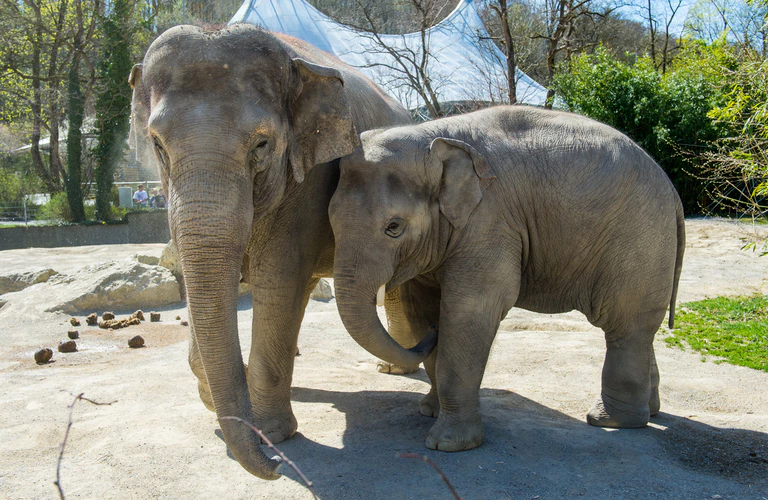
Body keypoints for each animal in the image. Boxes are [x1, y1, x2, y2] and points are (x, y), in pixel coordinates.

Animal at [128, 24, 436, 479]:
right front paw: (221, 407)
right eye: (157, 145)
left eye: (261, 144)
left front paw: (272, 434)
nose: (274, 467)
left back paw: (395, 369)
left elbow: (278, 280)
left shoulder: (310, 178)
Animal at [329, 105, 685, 453]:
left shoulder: (490, 220)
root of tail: (673, 192)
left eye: (394, 227)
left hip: (640, 240)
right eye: (330, 220)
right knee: (639, 329)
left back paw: (610, 421)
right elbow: (421, 308)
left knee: (625, 326)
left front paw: (448, 445)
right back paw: (649, 412)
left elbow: (470, 311)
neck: (431, 136)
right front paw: (428, 409)